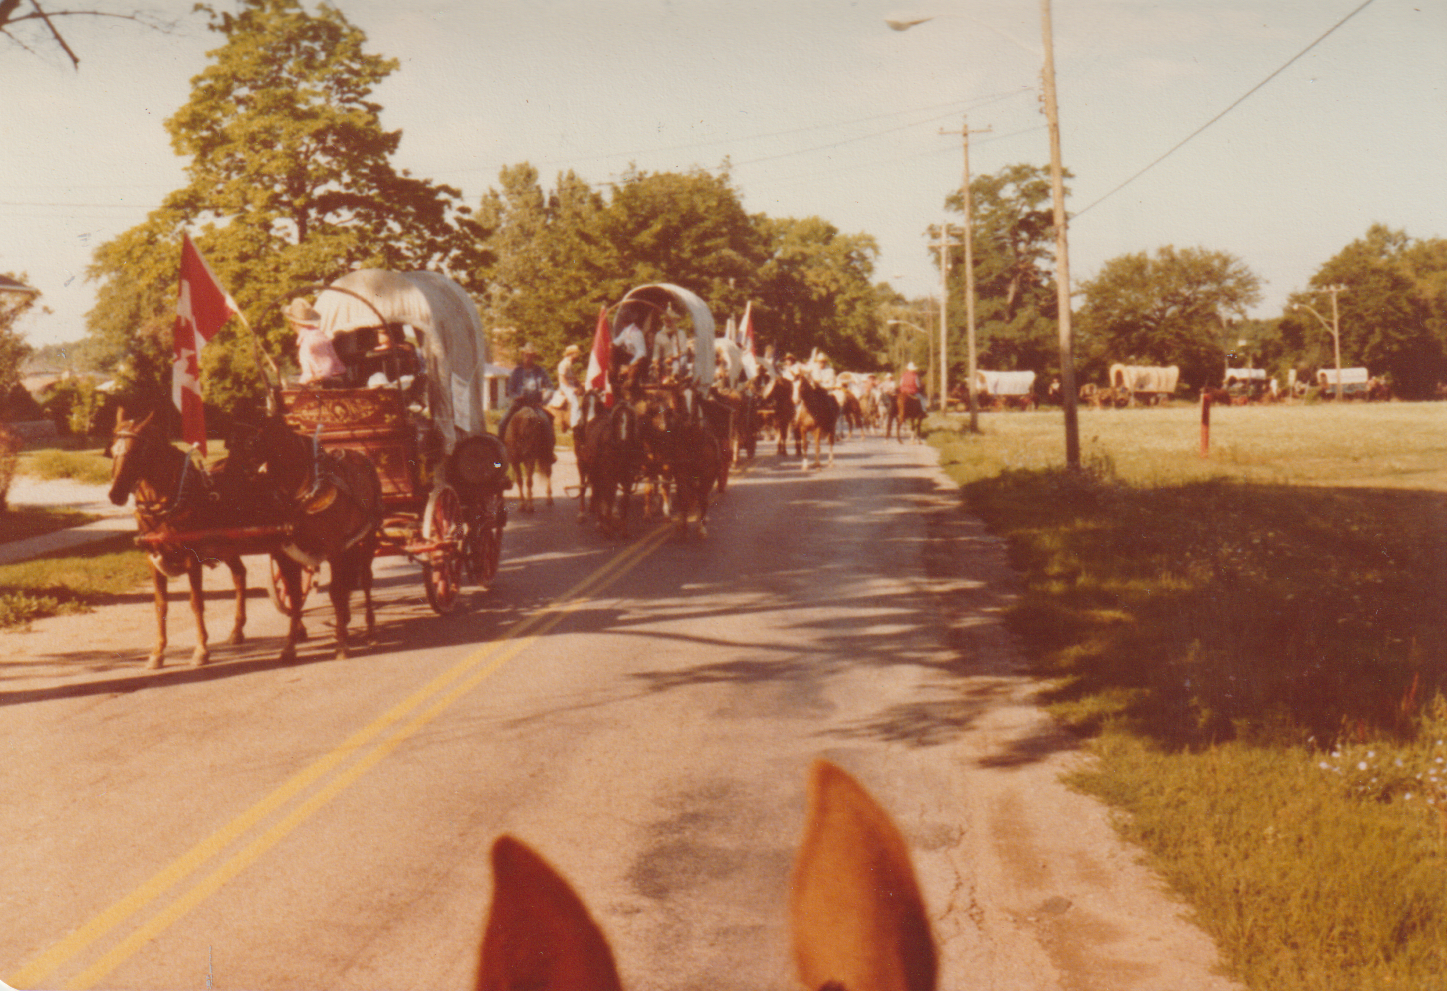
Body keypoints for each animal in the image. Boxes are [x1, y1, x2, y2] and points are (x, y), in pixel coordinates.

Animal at [108, 405, 277, 668]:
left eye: (136, 451)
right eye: (113, 449)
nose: (115, 494)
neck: (168, 501)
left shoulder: (192, 558)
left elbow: (196, 603)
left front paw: (201, 650)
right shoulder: (153, 559)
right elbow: (161, 605)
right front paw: (157, 652)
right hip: (227, 545)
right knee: (240, 576)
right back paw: (237, 631)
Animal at [254, 405, 382, 659]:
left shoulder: (334, 548)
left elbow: (336, 591)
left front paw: (341, 643)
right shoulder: (286, 554)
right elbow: (295, 598)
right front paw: (290, 645)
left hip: (368, 537)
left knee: (365, 580)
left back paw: (371, 629)